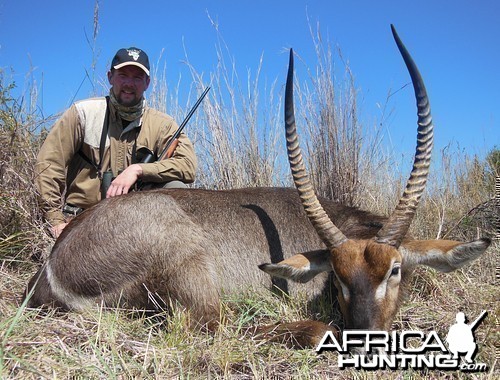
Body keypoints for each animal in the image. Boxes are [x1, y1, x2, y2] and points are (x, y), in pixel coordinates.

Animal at [25, 24, 490, 344]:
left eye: (395, 270)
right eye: (337, 276)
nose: (364, 341)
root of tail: (51, 270)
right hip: (187, 260)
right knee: (220, 325)